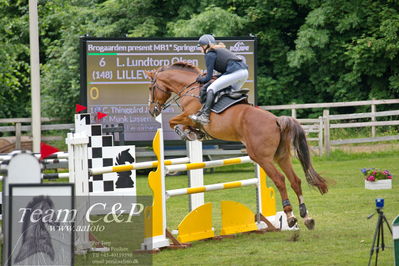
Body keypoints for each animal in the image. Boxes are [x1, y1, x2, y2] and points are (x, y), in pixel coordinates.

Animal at [147, 61, 328, 229]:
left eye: (151, 87)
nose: (152, 111)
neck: (190, 88)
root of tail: (277, 120)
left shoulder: (188, 115)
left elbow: (173, 122)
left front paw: (188, 133)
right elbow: (181, 125)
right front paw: (195, 133)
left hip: (262, 158)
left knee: (280, 180)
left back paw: (290, 216)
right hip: (281, 157)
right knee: (295, 180)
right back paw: (306, 217)